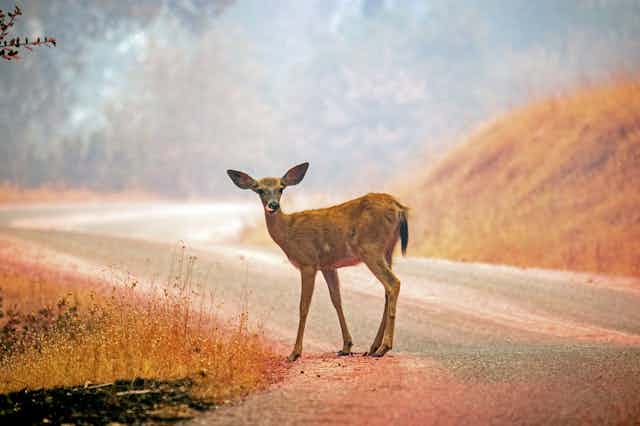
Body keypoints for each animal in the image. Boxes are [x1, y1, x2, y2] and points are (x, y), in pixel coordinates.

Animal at [227, 162, 408, 361]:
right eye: (259, 190)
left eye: (281, 188)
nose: (273, 205)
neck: (288, 232)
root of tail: (399, 208)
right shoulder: (328, 265)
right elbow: (337, 300)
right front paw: (346, 346)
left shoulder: (308, 262)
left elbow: (303, 306)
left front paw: (295, 353)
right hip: (388, 250)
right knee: (387, 291)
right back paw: (373, 347)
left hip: (370, 248)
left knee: (393, 283)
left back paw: (384, 347)